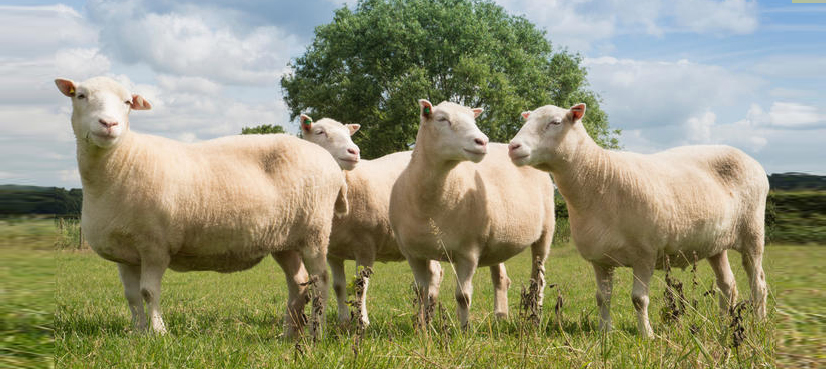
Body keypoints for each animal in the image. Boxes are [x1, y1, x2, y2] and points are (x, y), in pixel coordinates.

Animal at [53, 76, 346, 338]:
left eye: (127, 102)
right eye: (81, 96)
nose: (109, 124)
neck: (122, 161)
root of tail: (332, 165)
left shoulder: (155, 246)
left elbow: (149, 292)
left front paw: (158, 333)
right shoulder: (125, 254)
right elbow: (132, 296)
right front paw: (137, 333)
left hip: (315, 231)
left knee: (321, 280)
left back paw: (316, 333)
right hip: (285, 240)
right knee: (299, 283)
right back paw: (289, 334)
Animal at [296, 114, 516, 324]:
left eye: (348, 134)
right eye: (319, 132)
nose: (353, 151)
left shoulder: (366, 245)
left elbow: (361, 286)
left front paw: (362, 321)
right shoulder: (333, 252)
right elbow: (339, 286)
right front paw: (343, 321)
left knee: (496, 275)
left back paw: (499, 315)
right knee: (436, 273)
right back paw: (430, 314)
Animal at [386, 99, 552, 326]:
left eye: (473, 119)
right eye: (442, 119)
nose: (482, 141)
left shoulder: (468, 251)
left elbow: (462, 296)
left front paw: (464, 329)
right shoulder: (413, 253)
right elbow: (421, 292)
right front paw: (421, 327)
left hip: (546, 232)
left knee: (539, 279)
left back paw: (536, 315)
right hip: (498, 238)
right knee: (501, 278)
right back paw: (500, 316)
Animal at [506, 103, 768, 336]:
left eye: (555, 122)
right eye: (526, 120)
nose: (513, 146)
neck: (598, 179)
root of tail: (750, 160)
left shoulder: (645, 254)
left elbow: (639, 299)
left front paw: (647, 335)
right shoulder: (600, 258)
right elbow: (602, 298)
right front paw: (604, 333)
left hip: (753, 234)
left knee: (758, 283)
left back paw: (758, 322)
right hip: (715, 244)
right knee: (728, 285)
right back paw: (724, 324)